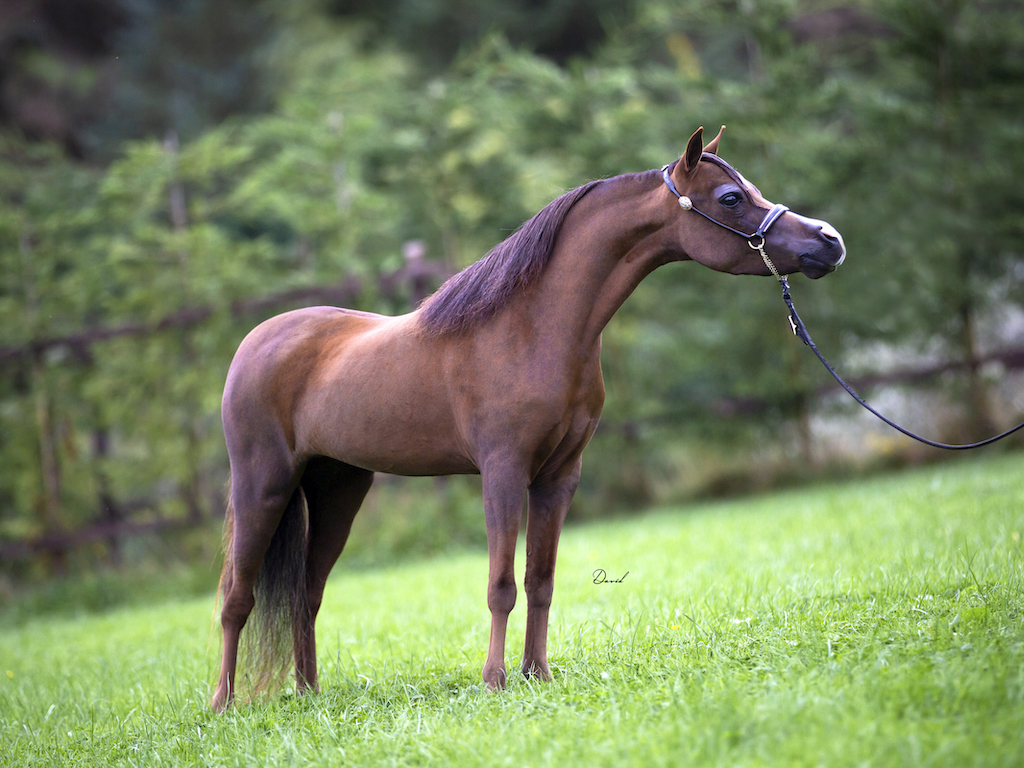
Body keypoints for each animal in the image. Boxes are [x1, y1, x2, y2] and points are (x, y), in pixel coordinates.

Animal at [211, 126, 846, 711]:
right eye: (731, 197)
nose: (830, 241)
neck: (534, 329)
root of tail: (254, 341)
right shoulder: (503, 473)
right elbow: (501, 584)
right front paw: (493, 681)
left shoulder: (558, 478)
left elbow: (540, 581)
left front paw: (536, 674)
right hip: (262, 487)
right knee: (236, 597)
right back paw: (222, 704)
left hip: (339, 489)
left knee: (307, 592)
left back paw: (309, 694)